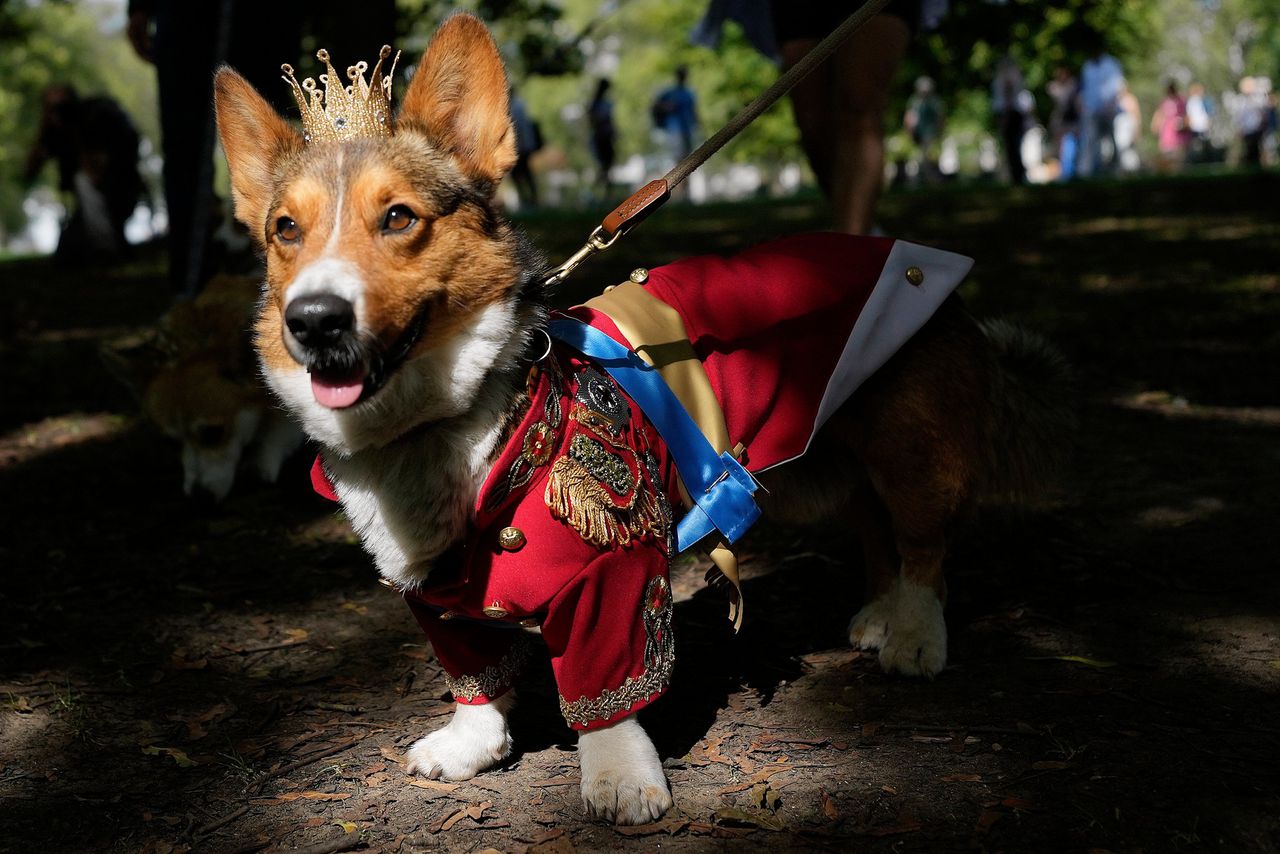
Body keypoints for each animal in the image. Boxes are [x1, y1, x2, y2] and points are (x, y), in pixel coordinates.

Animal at [212, 15, 1070, 829]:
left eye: (397, 218)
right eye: (284, 230)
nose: (312, 321)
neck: (439, 425)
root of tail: (935, 275)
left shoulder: (614, 575)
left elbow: (607, 692)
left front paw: (620, 779)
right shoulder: (434, 597)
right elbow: (473, 680)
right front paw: (469, 746)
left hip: (911, 453)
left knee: (924, 546)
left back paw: (915, 636)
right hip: (839, 457)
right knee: (873, 530)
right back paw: (878, 617)